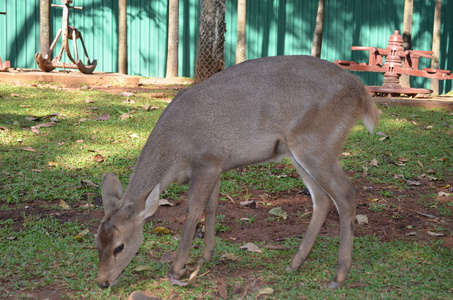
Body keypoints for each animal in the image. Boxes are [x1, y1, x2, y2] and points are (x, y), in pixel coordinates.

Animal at [95, 55, 378, 290]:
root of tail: (361, 92)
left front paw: (178, 268)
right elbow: (211, 207)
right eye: (97, 241)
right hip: (298, 151)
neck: (175, 153)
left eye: (119, 247)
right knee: (321, 199)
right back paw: (295, 263)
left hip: (316, 143)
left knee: (346, 194)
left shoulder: (207, 161)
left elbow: (192, 210)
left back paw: (338, 276)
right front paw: (205, 255)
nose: (103, 282)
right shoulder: (218, 166)